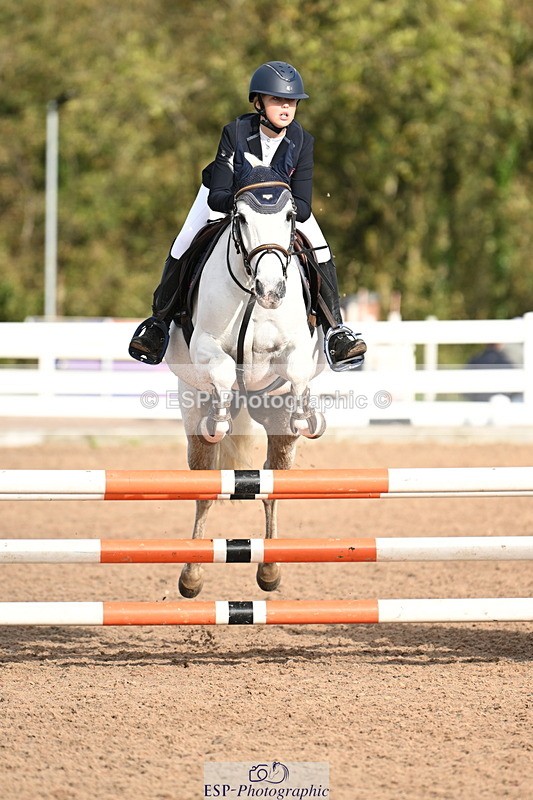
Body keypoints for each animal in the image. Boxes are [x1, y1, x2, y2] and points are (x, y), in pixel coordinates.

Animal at [165, 157, 327, 598]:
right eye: (240, 217)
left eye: (290, 216)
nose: (271, 291)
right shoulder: (205, 347)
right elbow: (222, 370)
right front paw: (220, 418)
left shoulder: (295, 348)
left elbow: (296, 367)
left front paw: (306, 415)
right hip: (192, 415)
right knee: (205, 489)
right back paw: (191, 576)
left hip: (276, 430)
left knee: (273, 487)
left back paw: (269, 570)